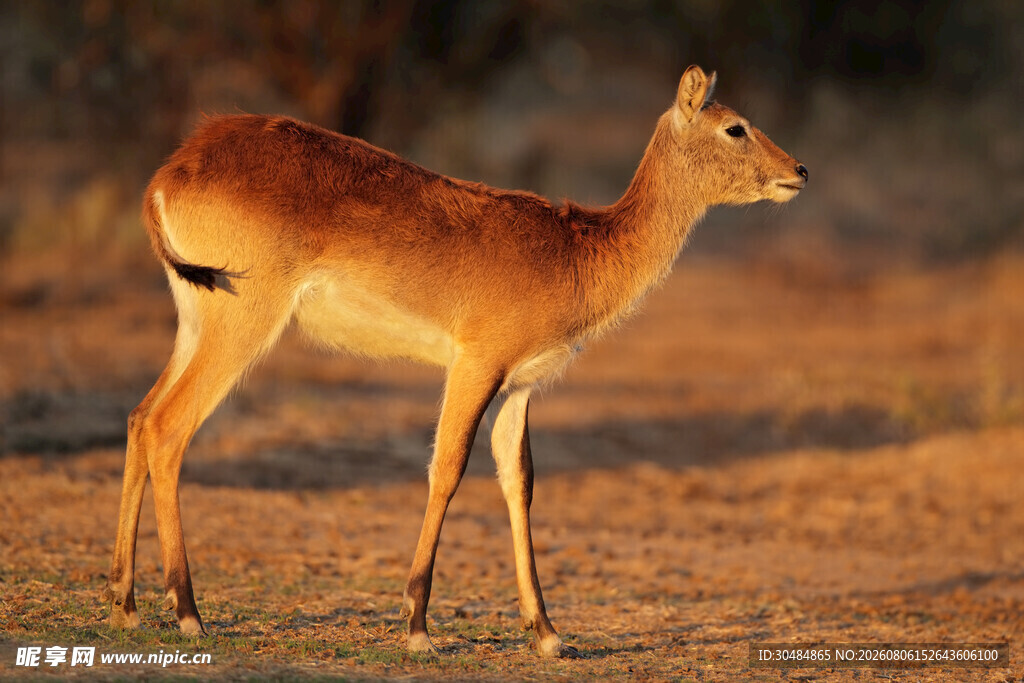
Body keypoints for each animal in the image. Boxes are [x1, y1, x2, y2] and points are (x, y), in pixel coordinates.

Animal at [103, 66, 806, 658]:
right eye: (735, 126)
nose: (799, 170)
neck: (578, 251)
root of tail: (174, 170)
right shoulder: (474, 365)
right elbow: (447, 468)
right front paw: (417, 626)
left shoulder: (520, 386)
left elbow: (518, 481)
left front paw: (547, 633)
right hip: (241, 323)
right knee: (168, 427)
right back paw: (188, 612)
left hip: (195, 320)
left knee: (138, 417)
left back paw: (125, 605)